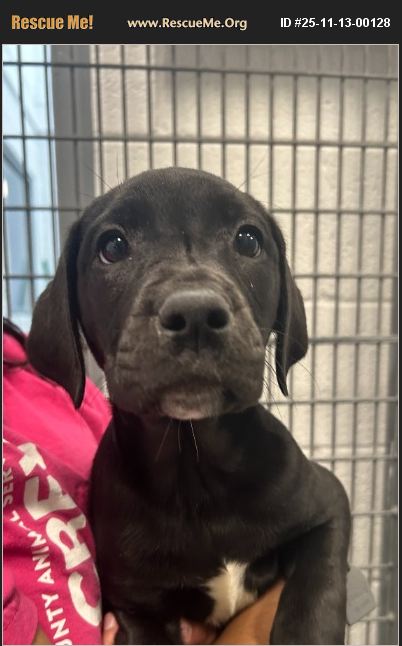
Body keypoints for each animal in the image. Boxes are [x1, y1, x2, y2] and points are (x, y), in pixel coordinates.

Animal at [27, 167, 351, 644]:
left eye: (248, 240)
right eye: (113, 246)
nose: (196, 313)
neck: (196, 468)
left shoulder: (328, 505)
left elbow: (316, 594)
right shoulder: (135, 605)